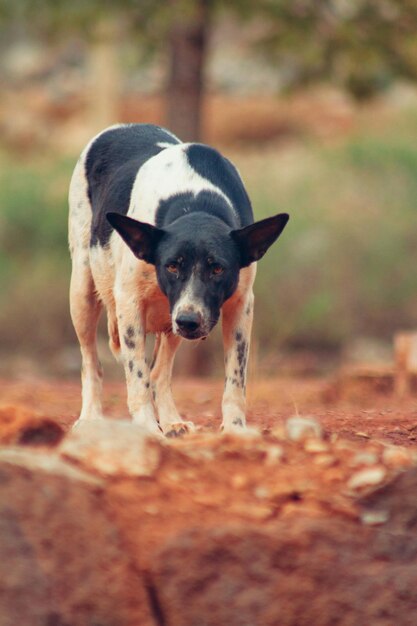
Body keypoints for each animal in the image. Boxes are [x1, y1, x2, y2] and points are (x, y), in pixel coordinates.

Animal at [69, 122, 290, 434]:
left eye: (218, 268)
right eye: (172, 266)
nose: (189, 321)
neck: (195, 202)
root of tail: (122, 126)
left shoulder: (240, 306)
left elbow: (235, 380)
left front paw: (235, 429)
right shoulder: (129, 303)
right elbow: (136, 377)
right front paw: (147, 429)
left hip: (170, 319)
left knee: (160, 372)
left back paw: (171, 420)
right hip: (84, 293)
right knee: (92, 363)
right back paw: (91, 417)